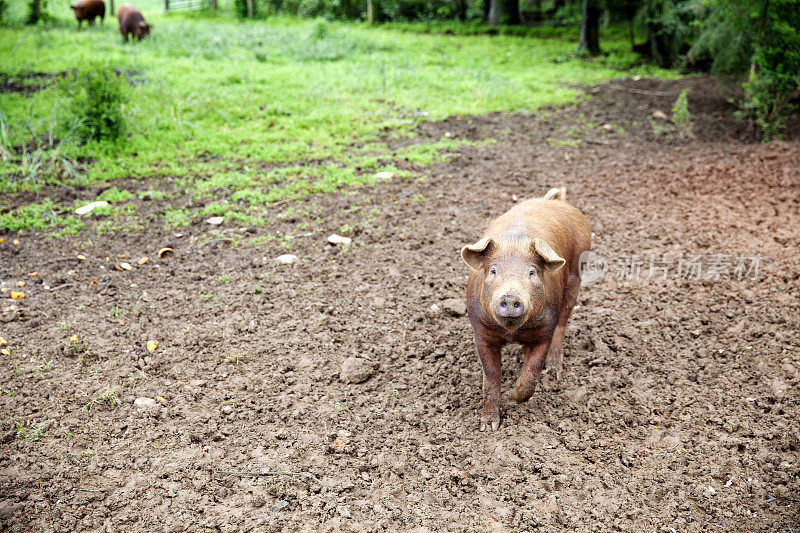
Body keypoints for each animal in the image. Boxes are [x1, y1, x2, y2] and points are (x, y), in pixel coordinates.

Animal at [460, 186, 592, 428]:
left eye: (532, 272)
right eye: (493, 270)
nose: (511, 296)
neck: (511, 332)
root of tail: (556, 201)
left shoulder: (544, 330)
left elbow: (532, 370)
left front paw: (513, 397)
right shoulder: (480, 331)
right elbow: (491, 376)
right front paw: (488, 426)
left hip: (577, 274)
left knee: (562, 324)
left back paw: (554, 373)